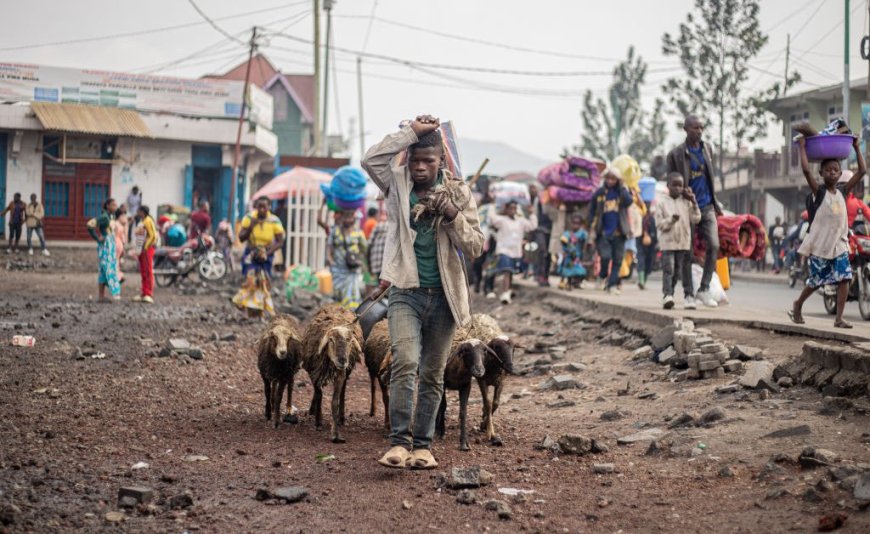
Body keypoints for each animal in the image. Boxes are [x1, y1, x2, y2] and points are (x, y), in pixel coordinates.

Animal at [304, 306, 364, 444]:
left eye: (350, 341)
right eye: (331, 340)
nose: (342, 361)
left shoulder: (340, 374)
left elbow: (335, 401)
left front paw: (336, 434)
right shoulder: (313, 372)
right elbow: (319, 394)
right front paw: (318, 422)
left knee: (343, 392)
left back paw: (341, 418)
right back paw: (313, 410)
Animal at [466, 314, 516, 448]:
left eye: (513, 349)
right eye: (497, 347)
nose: (510, 367)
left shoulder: (501, 382)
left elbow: (496, 403)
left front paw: (484, 424)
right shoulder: (482, 381)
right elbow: (488, 403)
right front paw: (488, 430)